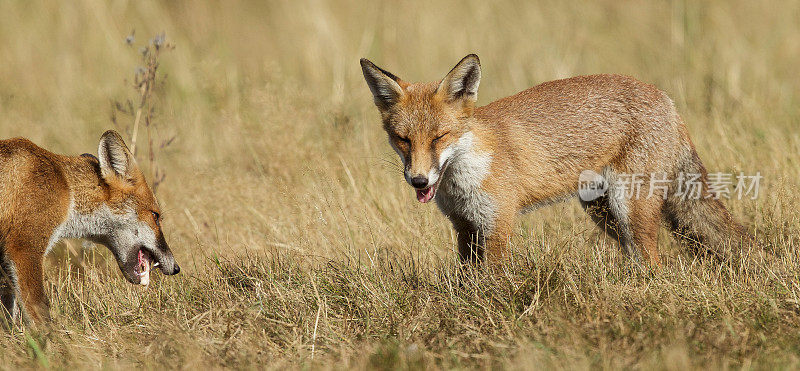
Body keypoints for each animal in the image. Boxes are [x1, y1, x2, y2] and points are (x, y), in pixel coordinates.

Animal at [0, 132, 180, 326]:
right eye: (156, 215)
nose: (176, 268)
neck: (67, 189)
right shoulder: (25, 249)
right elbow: (40, 313)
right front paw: (51, 335)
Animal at [362, 53, 752, 266]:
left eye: (439, 137)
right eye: (403, 139)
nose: (419, 180)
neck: (465, 176)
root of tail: (664, 97)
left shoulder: (498, 224)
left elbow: (491, 282)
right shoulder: (465, 227)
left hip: (630, 208)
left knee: (655, 264)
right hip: (604, 212)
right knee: (637, 259)